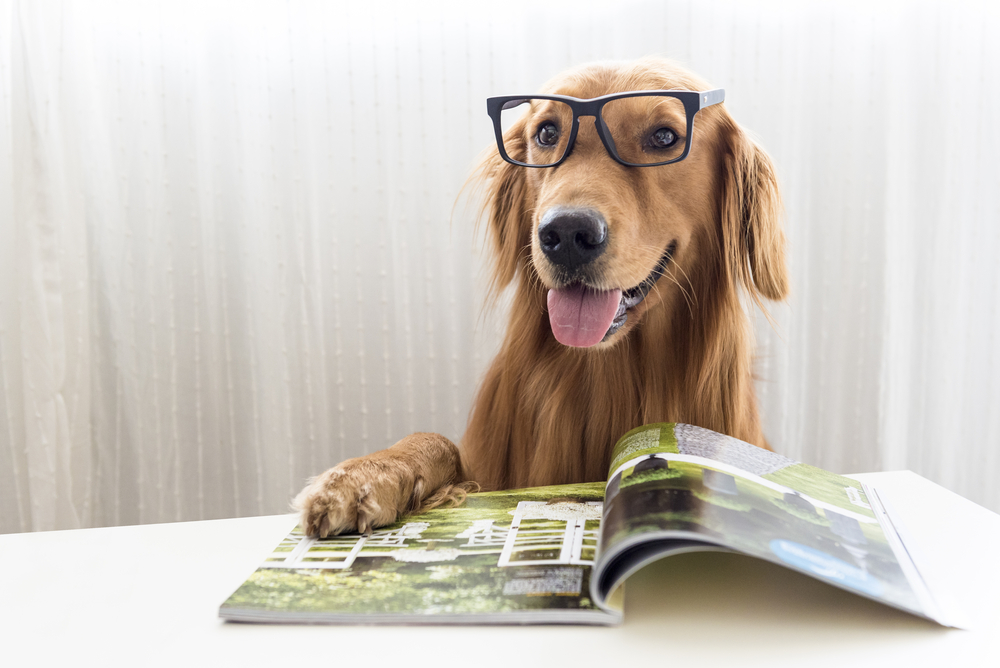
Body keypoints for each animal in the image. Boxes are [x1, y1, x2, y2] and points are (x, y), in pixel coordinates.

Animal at [292, 57, 784, 536]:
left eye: (664, 137)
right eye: (547, 133)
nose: (565, 234)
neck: (606, 377)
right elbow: (440, 442)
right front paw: (366, 473)